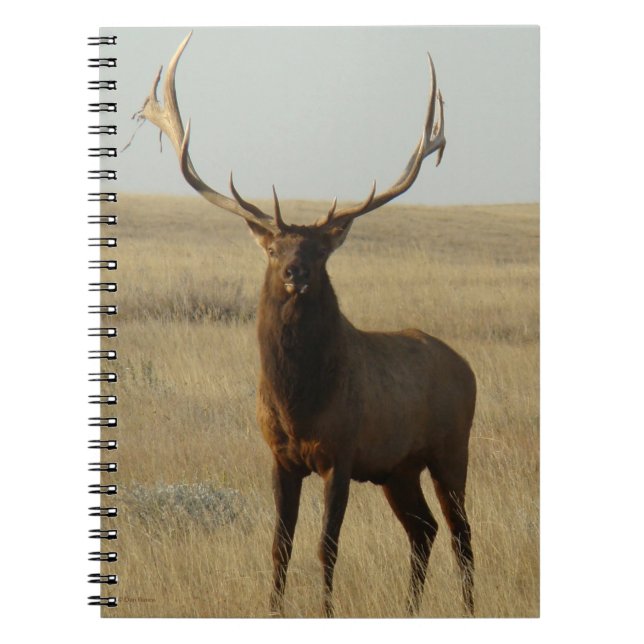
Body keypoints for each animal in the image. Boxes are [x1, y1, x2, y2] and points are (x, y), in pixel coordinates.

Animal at [135, 32, 476, 618]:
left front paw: (326, 610)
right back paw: (411, 608)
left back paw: (470, 606)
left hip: (452, 448)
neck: (299, 402)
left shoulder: (341, 453)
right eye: (274, 249)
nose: (296, 272)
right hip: (399, 468)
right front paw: (272, 608)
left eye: (319, 250)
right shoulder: (280, 456)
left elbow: (326, 545)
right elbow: (280, 544)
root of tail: (470, 369)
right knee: (425, 530)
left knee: (461, 533)